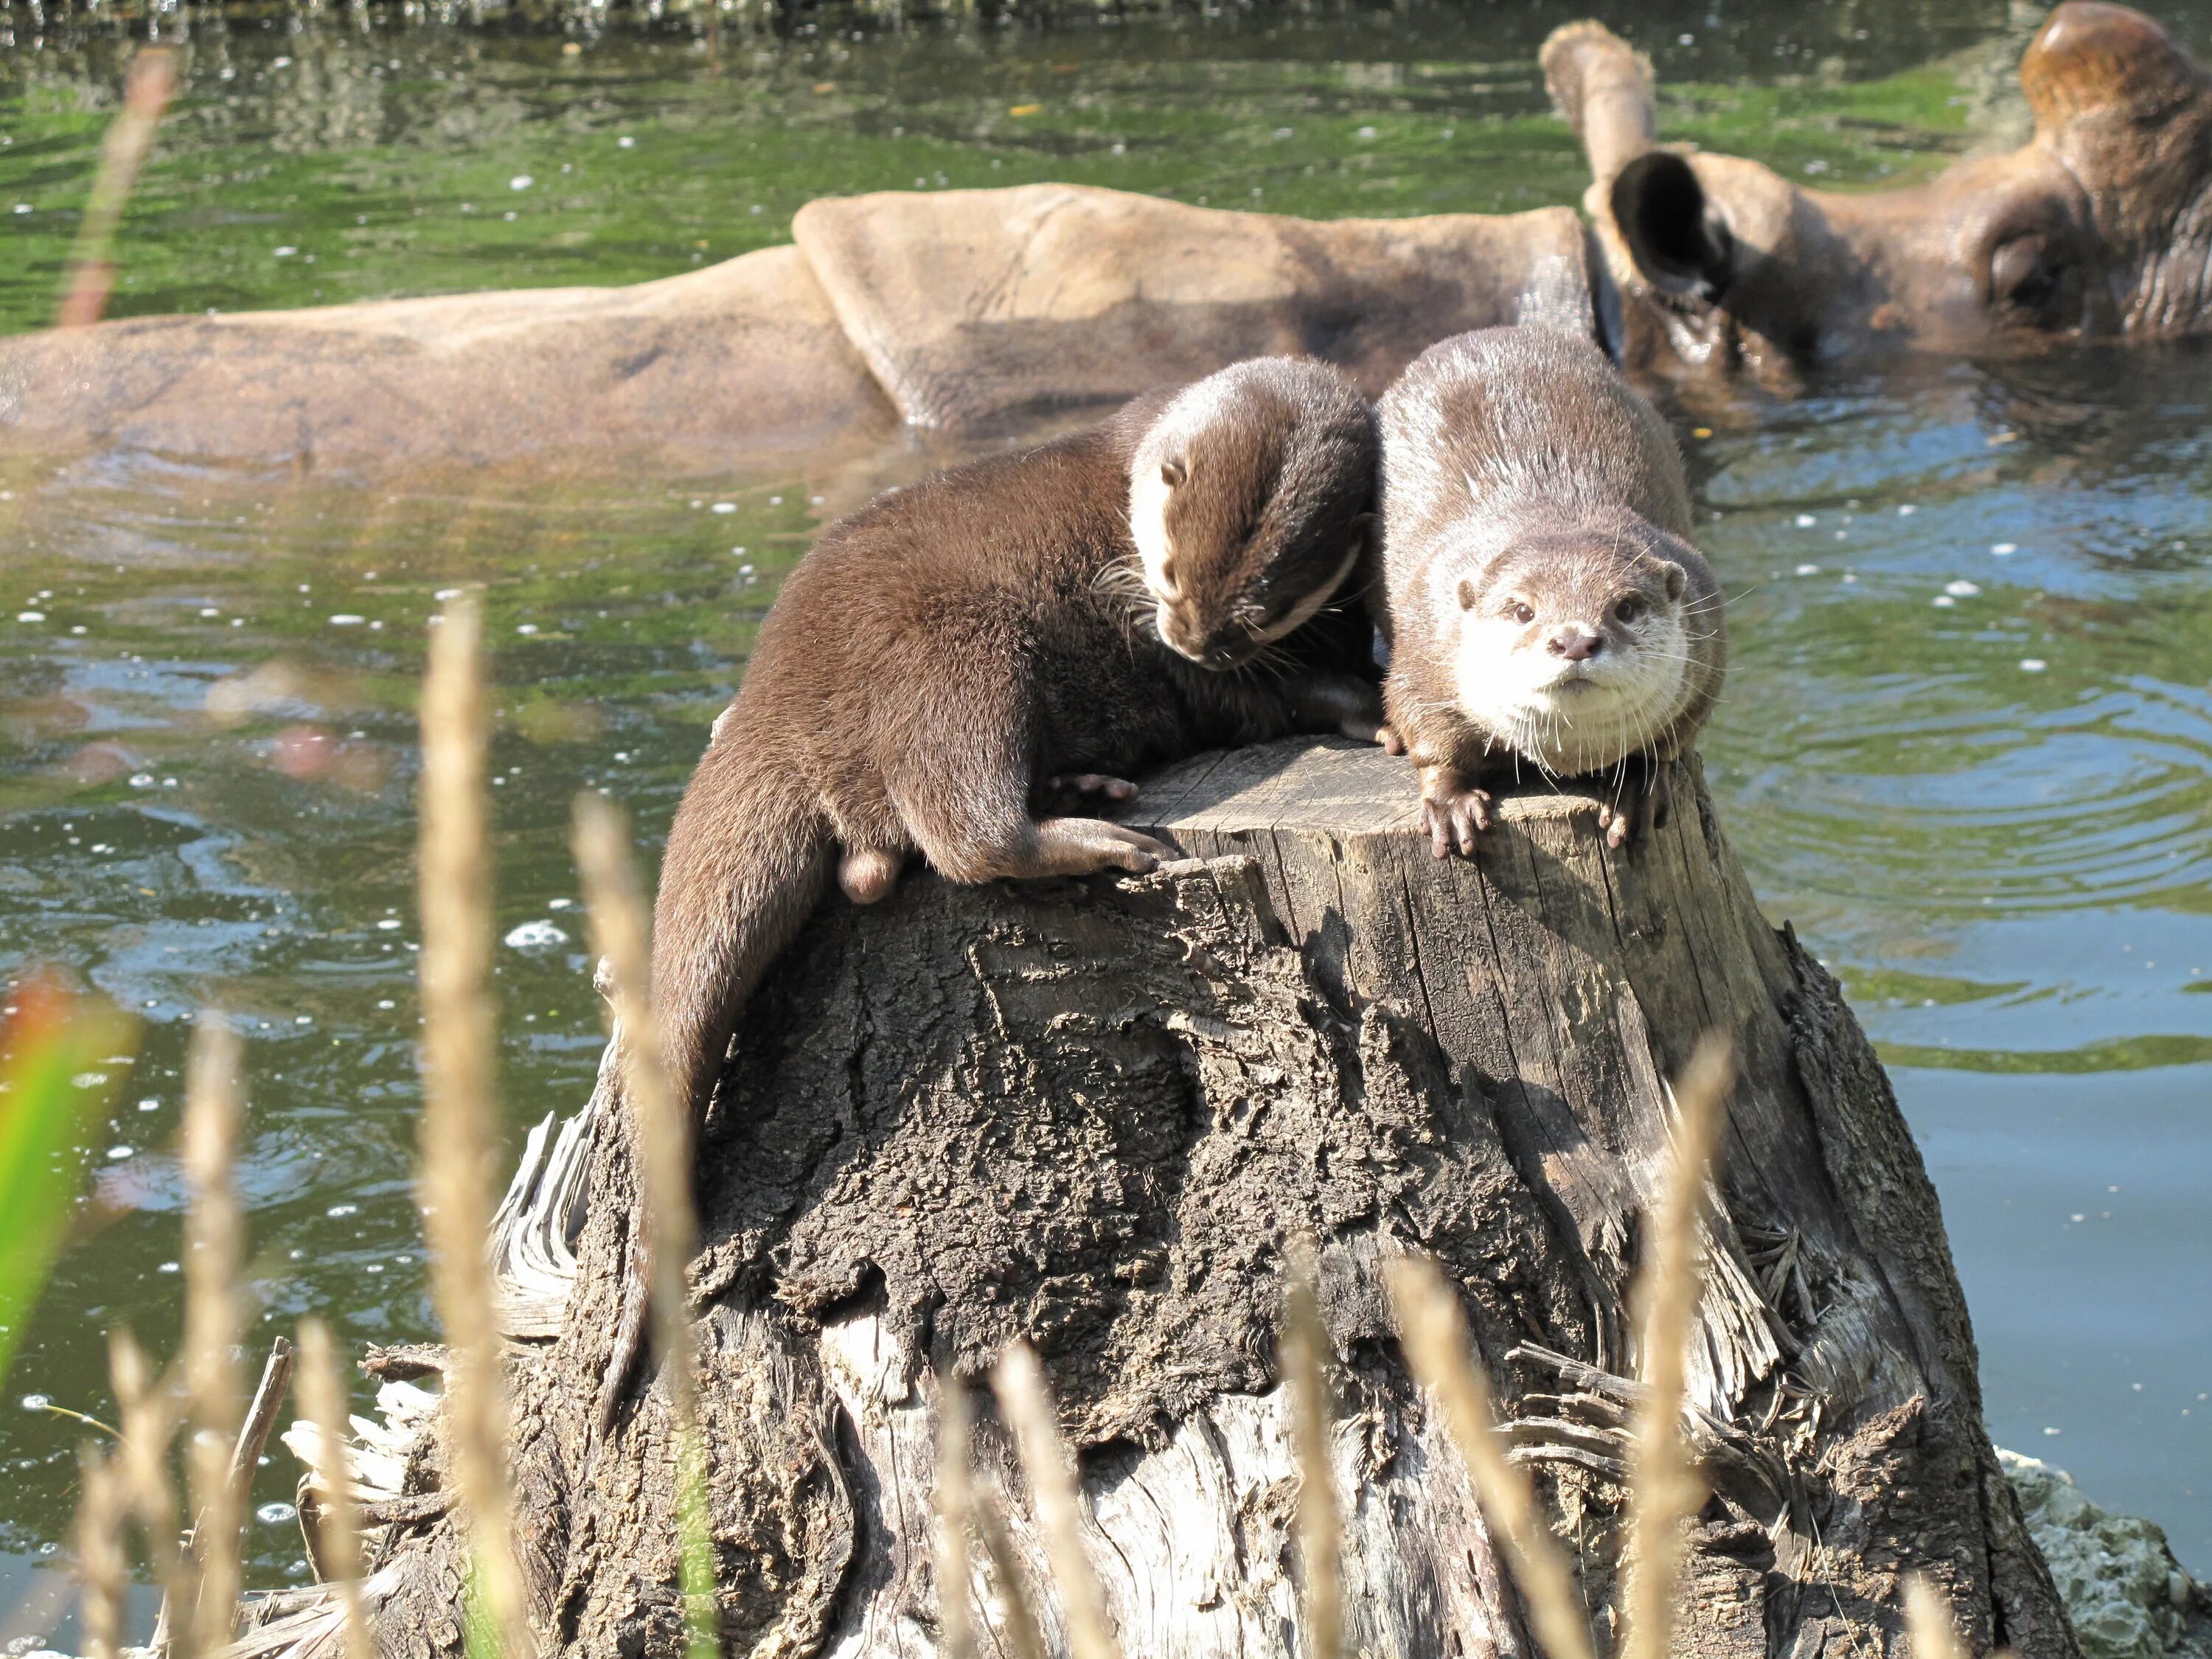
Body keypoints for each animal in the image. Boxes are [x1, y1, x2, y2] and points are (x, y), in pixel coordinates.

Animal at [1380, 325, 1725, 858]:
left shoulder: (1708, 642)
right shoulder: (1426, 636)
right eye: (1523, 611)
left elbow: (1668, 742)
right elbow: (1426, 730)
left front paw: (1636, 788)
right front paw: (1450, 802)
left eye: (1625, 608)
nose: (1575, 640)